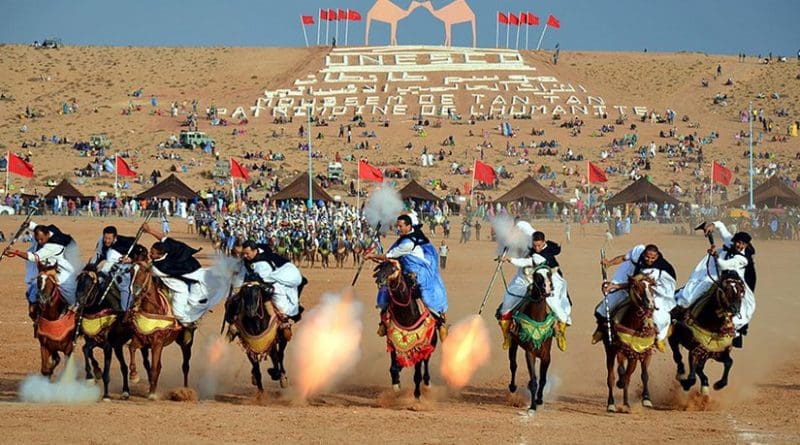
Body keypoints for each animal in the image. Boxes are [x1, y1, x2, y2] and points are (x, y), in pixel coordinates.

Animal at [130, 260, 197, 398]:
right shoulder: (141, 341)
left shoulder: (157, 343)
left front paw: (152, 394)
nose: (135, 290)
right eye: (130, 271)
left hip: (186, 342)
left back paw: (185, 391)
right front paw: (134, 376)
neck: (153, 310)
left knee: (185, 366)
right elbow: (132, 348)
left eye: (145, 270)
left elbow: (154, 367)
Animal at [510, 264, 552, 412]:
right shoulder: (530, 353)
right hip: (513, 343)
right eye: (537, 276)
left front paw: (539, 400)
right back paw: (512, 387)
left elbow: (543, 379)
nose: (547, 289)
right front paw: (533, 406)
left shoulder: (546, 355)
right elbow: (534, 380)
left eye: (549, 274)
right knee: (513, 365)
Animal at [600, 274, 656, 412]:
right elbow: (616, 374)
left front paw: (637, 402)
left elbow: (635, 376)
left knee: (635, 375)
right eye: (635, 286)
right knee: (615, 375)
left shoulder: (637, 353)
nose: (650, 303)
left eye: (651, 286)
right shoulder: (616, 350)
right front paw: (613, 403)